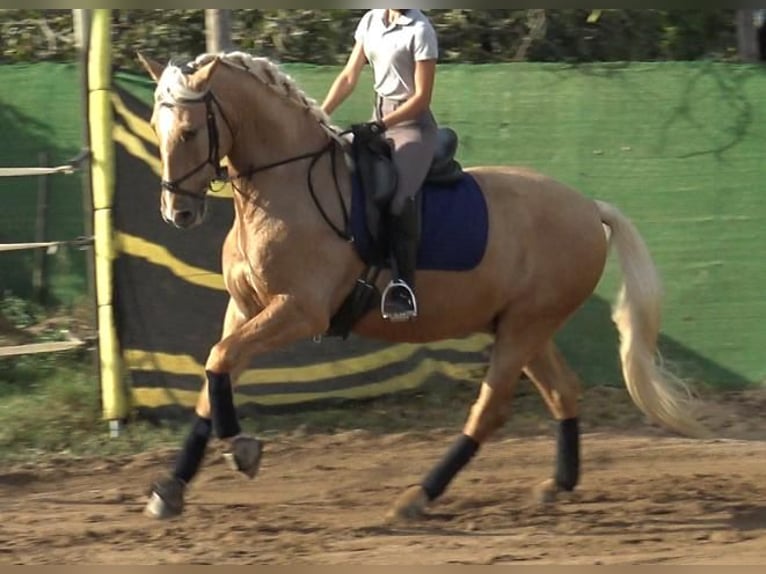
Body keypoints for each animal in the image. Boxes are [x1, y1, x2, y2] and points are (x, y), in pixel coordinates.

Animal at [136, 53, 708, 520]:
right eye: (156, 126)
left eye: (188, 131)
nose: (177, 212)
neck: (284, 187)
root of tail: (589, 207)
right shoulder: (244, 307)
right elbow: (215, 374)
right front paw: (171, 489)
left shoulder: (298, 311)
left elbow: (220, 361)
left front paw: (242, 450)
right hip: (525, 325)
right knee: (562, 391)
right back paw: (558, 484)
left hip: (524, 328)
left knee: (490, 409)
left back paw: (418, 496)